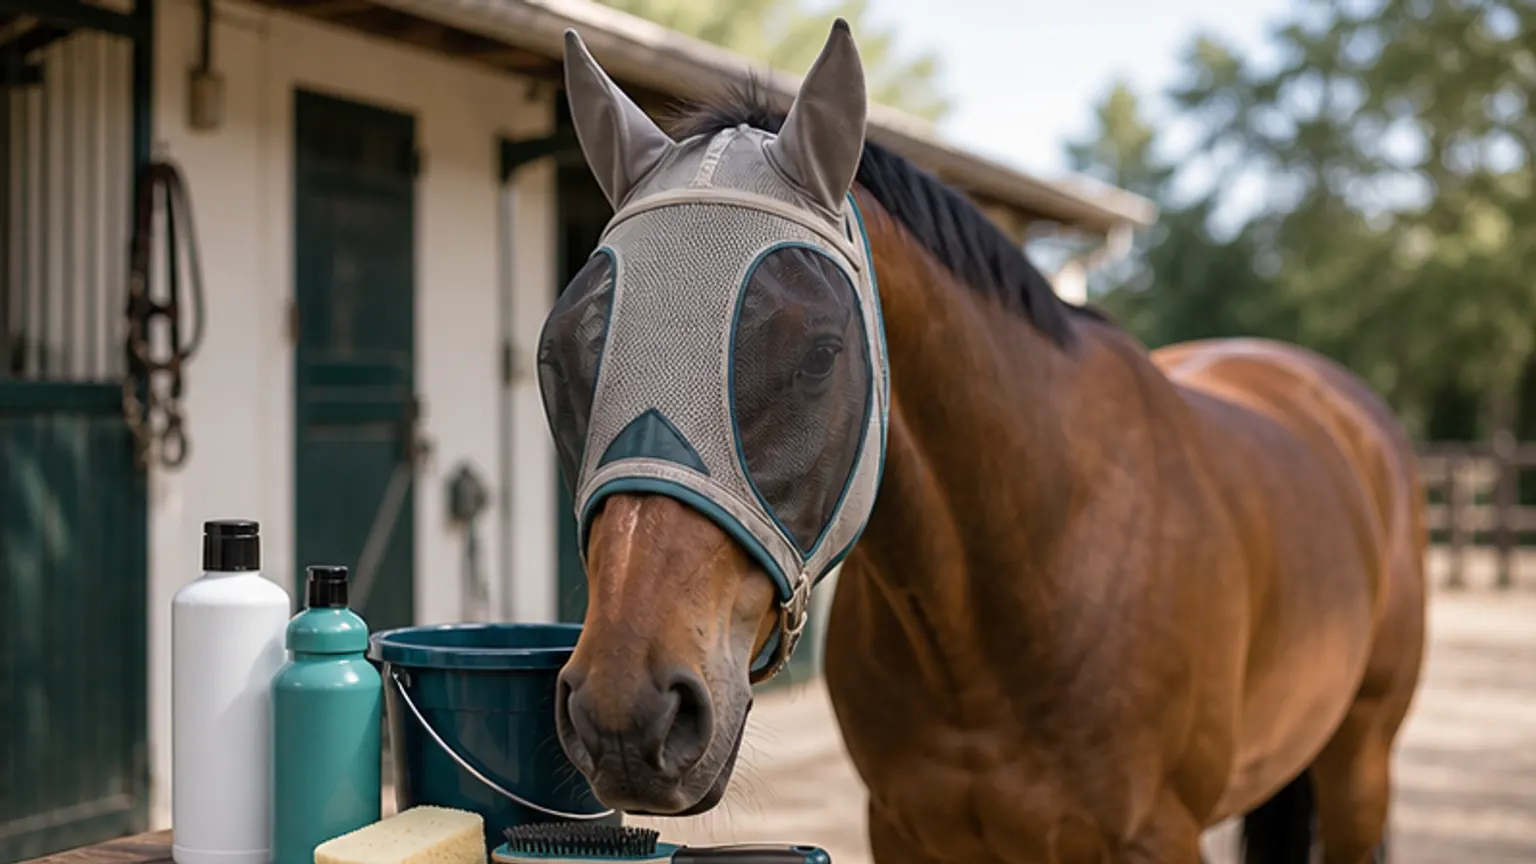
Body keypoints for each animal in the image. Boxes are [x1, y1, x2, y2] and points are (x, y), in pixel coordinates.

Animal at [537, 21, 1427, 864]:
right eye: (559, 357)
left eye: (821, 353)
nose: (626, 713)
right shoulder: (905, 830)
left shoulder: (1157, 836)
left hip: (1361, 764)